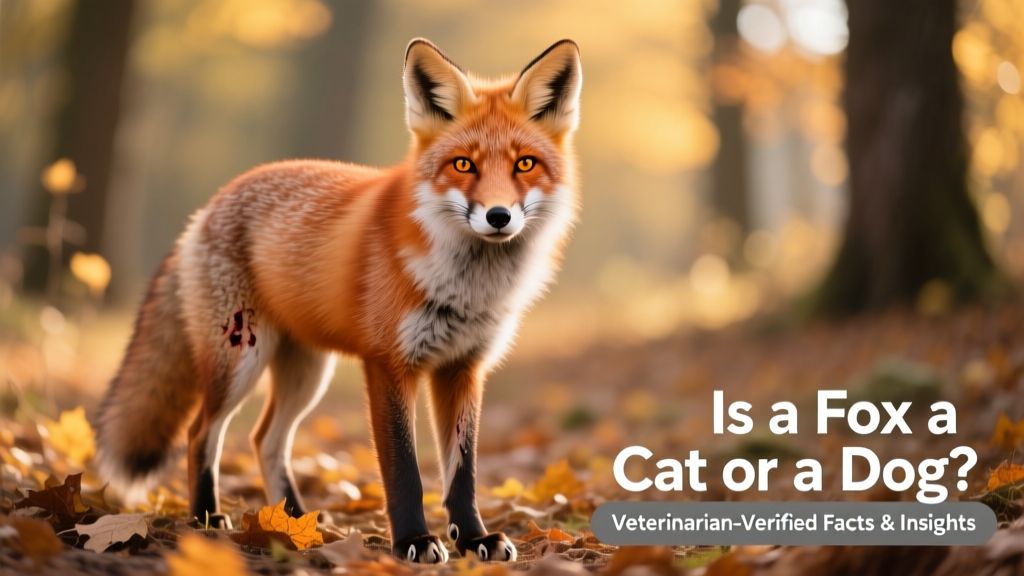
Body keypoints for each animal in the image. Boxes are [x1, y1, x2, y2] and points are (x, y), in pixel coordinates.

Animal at [94, 38, 581, 563]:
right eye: (463, 165)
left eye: (524, 164)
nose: (498, 216)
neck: (468, 287)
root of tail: (208, 206)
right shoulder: (388, 363)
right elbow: (404, 469)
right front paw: (413, 540)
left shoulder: (463, 368)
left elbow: (462, 473)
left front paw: (474, 539)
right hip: (240, 361)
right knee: (200, 432)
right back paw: (208, 516)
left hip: (307, 374)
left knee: (265, 439)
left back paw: (292, 522)